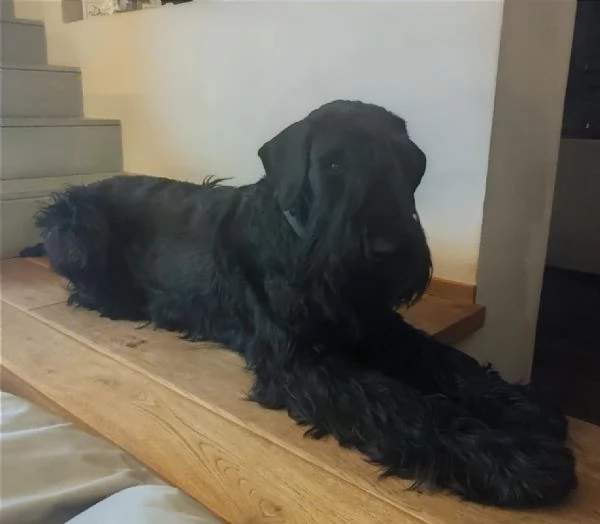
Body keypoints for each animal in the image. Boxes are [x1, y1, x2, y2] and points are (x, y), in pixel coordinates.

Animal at [34, 100, 576, 507]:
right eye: (334, 163)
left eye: (403, 162)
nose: (388, 250)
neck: (298, 241)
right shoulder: (301, 362)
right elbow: (403, 404)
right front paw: (508, 458)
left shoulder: (383, 329)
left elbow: (451, 364)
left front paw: (520, 408)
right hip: (72, 220)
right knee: (79, 284)